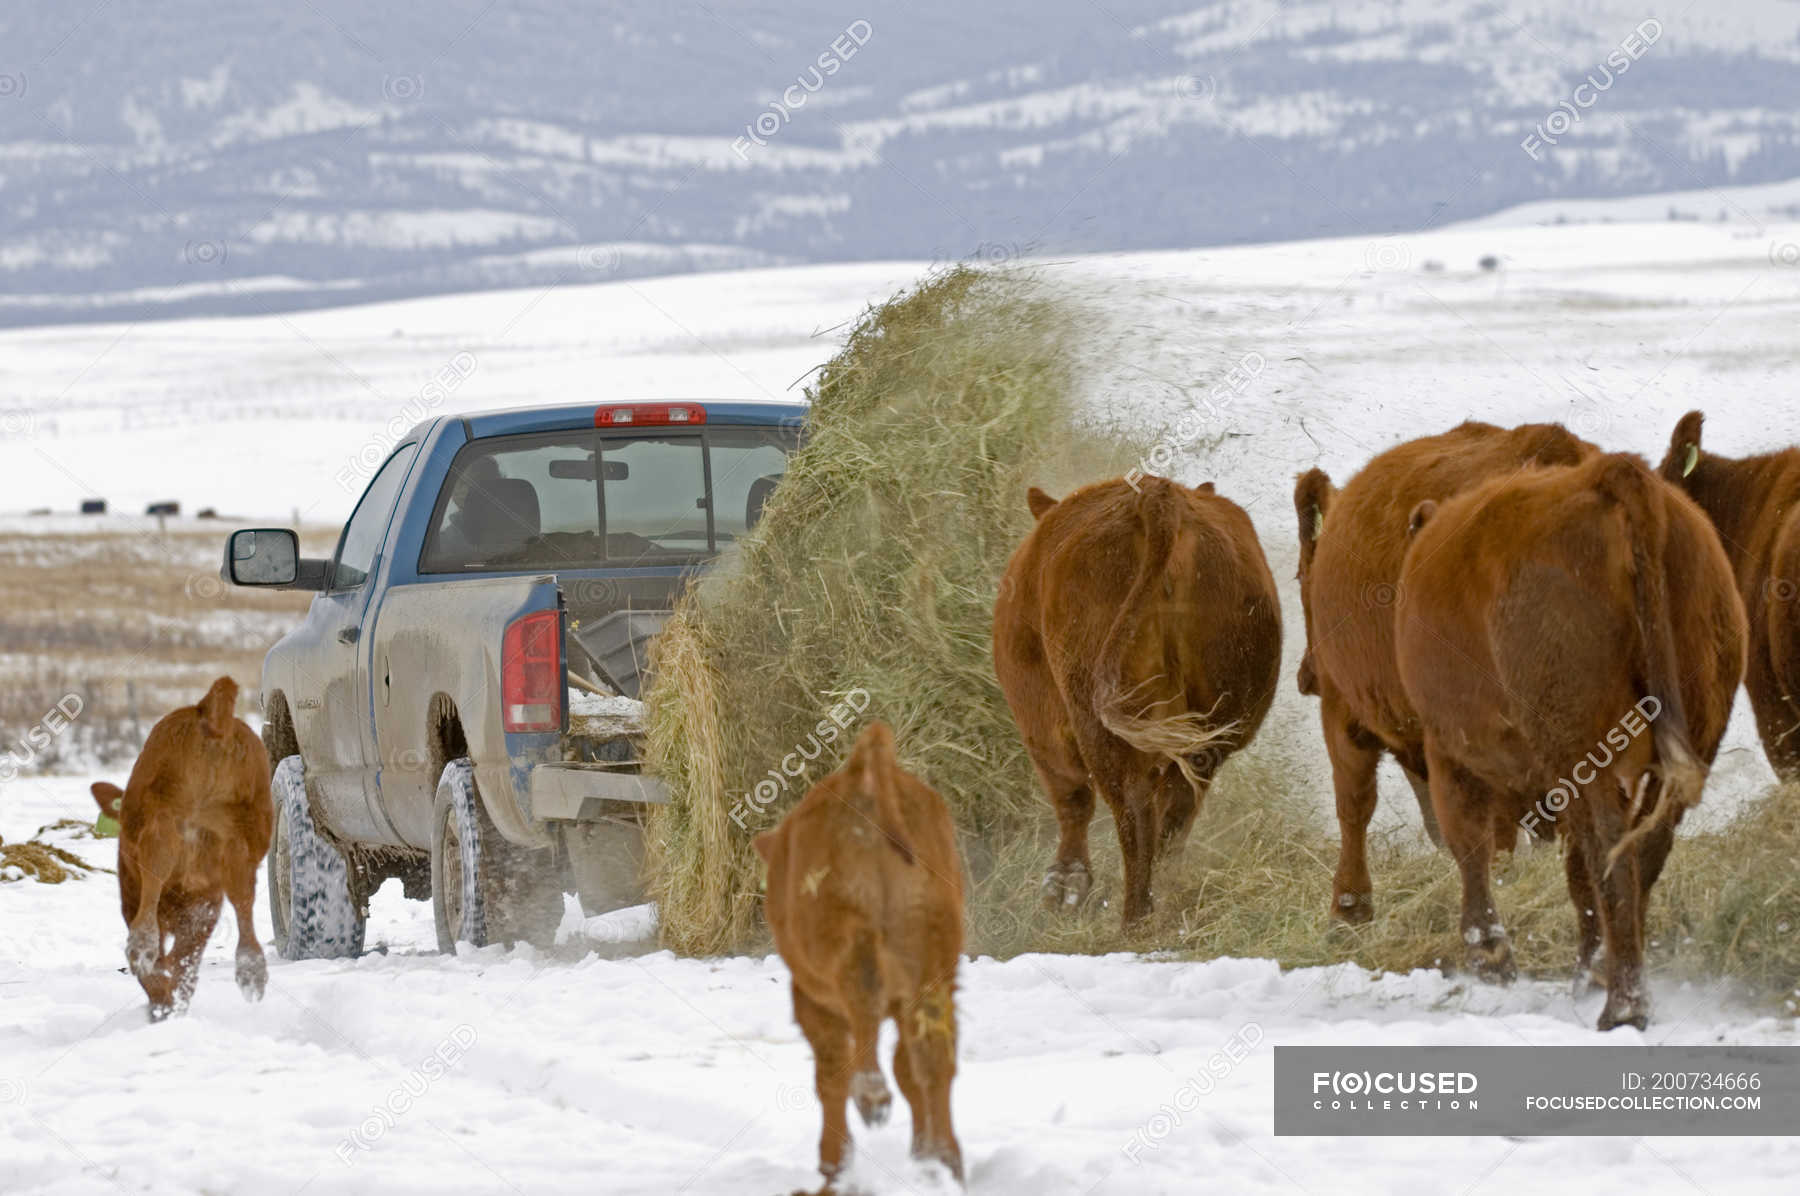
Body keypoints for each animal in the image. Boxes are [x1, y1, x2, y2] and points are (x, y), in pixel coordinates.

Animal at [91, 676, 274, 1020]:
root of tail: (209, 717)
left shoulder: (135, 896)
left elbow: (174, 964)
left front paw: (163, 1005)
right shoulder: (205, 906)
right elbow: (185, 959)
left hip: (158, 820)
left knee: (153, 884)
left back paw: (143, 949)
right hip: (244, 836)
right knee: (244, 902)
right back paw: (252, 973)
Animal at [755, 722, 964, 1191]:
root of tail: (862, 777)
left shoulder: (812, 1002)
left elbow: (829, 1073)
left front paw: (833, 1168)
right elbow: (908, 1069)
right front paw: (923, 1155)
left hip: (853, 947)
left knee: (864, 1013)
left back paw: (871, 1098)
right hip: (934, 962)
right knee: (933, 1056)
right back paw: (947, 1163)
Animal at [993, 475, 1282, 928]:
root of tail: (1156, 497)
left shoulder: (1039, 718)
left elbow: (1070, 796)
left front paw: (1065, 883)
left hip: (1100, 724)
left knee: (1132, 809)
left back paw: (1134, 919)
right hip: (1214, 725)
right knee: (1177, 809)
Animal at [1397, 454, 1745, 1030]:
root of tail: (1607, 474)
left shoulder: (1449, 749)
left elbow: (1468, 843)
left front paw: (1488, 952)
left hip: (1576, 742)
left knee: (1607, 850)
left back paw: (1622, 1005)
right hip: (1696, 719)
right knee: (1642, 849)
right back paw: (1606, 976)